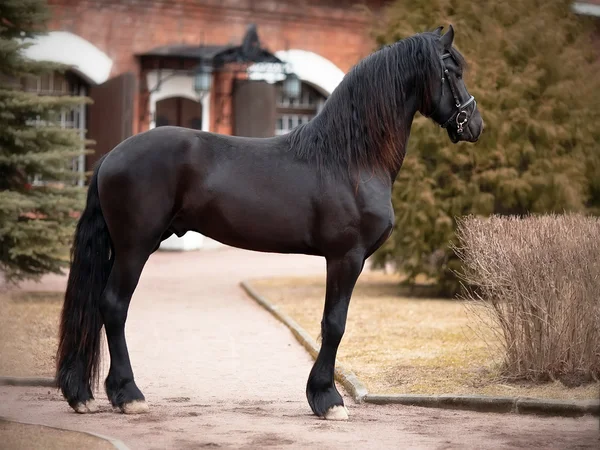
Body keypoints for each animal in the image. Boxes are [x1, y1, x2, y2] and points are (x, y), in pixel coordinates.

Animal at [55, 23, 482, 418]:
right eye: (453, 69)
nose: (475, 125)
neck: (350, 160)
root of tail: (111, 157)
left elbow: (333, 323)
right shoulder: (346, 257)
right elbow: (334, 323)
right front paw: (327, 399)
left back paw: (89, 393)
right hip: (134, 246)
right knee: (113, 305)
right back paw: (129, 394)